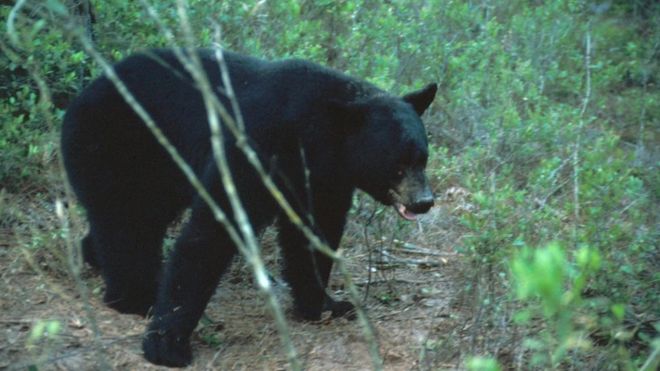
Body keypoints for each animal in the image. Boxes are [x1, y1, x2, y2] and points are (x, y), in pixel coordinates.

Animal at [59, 48, 436, 366]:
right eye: (398, 165)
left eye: (422, 158)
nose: (424, 202)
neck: (313, 136)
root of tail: (81, 95)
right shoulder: (255, 146)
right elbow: (211, 232)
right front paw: (167, 344)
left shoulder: (322, 179)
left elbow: (314, 234)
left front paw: (326, 304)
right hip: (117, 145)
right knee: (126, 221)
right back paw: (135, 297)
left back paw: (95, 258)